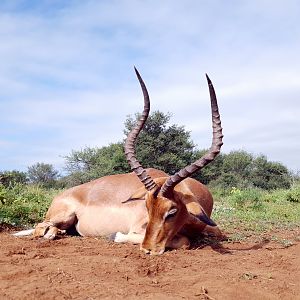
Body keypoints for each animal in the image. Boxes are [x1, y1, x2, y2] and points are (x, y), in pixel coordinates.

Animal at [14, 68, 223, 255]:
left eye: (172, 212)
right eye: (146, 206)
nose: (147, 249)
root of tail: (61, 196)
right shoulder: (138, 228)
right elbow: (183, 241)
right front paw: (115, 236)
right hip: (63, 216)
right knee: (41, 227)